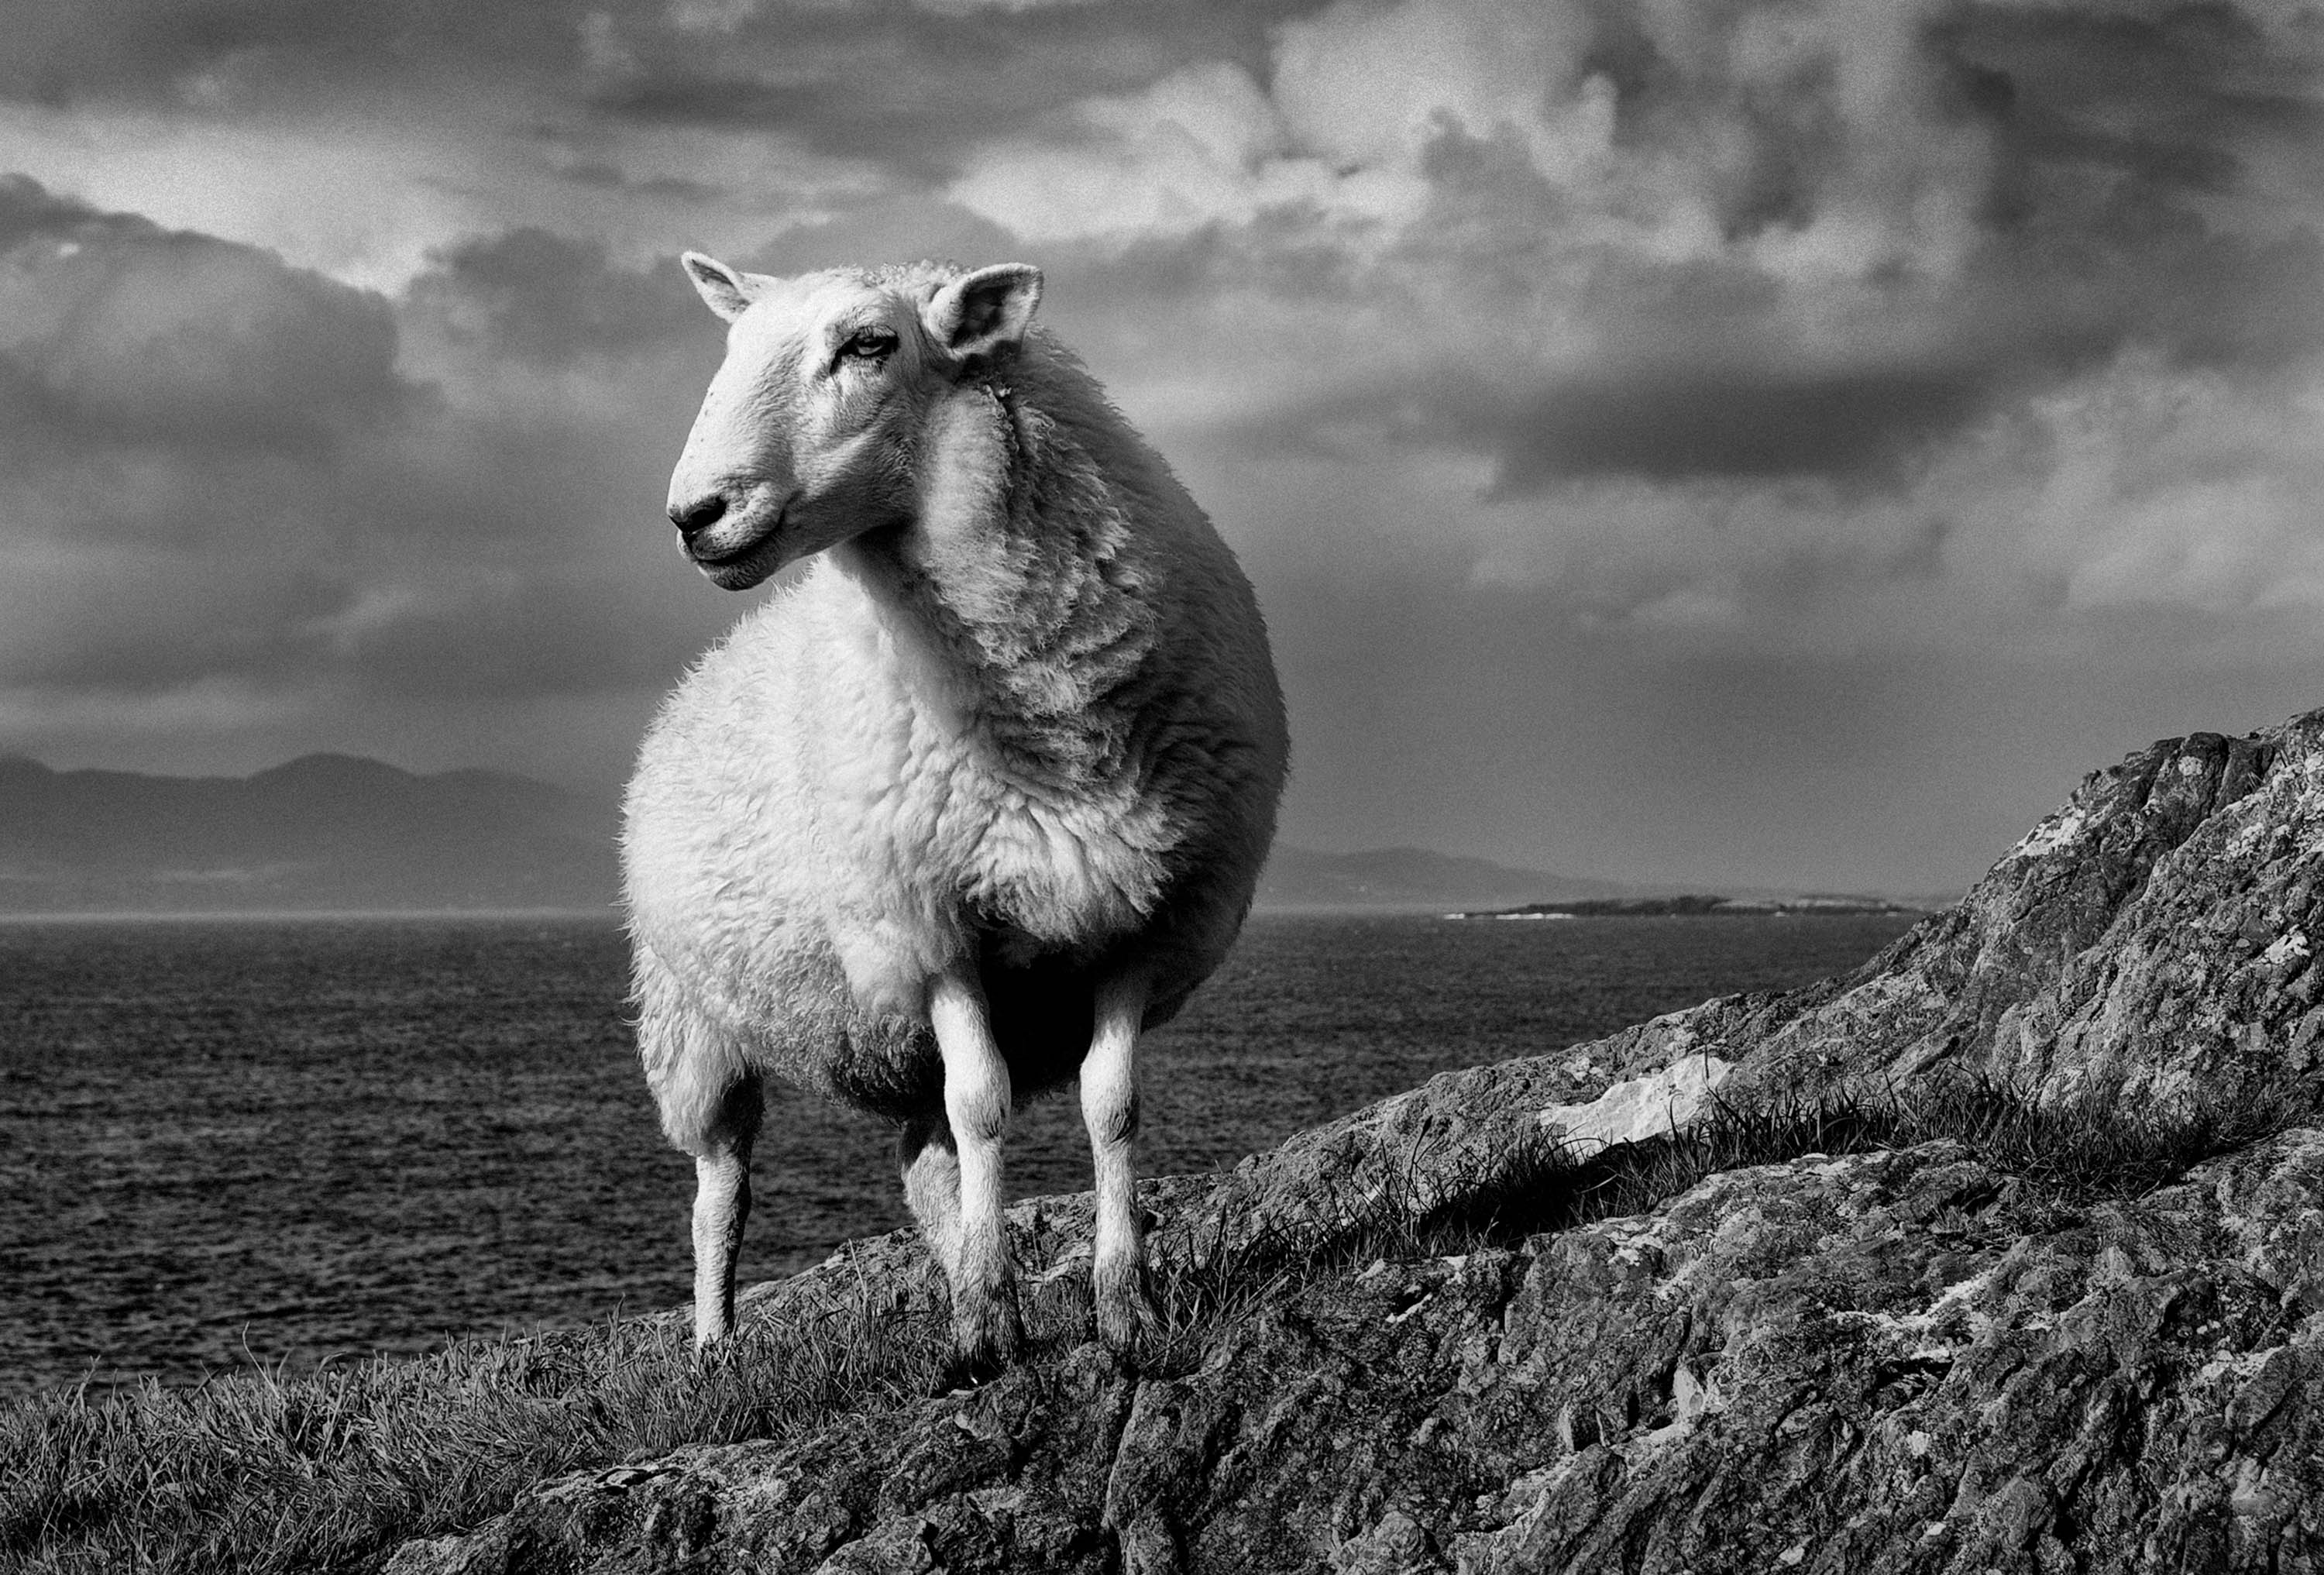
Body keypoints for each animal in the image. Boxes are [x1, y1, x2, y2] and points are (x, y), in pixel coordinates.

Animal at [623, 253, 1288, 1369]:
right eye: (730, 348)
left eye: (869, 345)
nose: (695, 513)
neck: (1051, 730)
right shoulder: (930, 927)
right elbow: (982, 1108)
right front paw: (985, 1333)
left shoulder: (1140, 915)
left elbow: (1113, 1109)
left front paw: (1123, 1309)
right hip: (692, 1022)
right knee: (722, 1191)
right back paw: (717, 1347)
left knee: (921, 1161)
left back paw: (958, 1270)